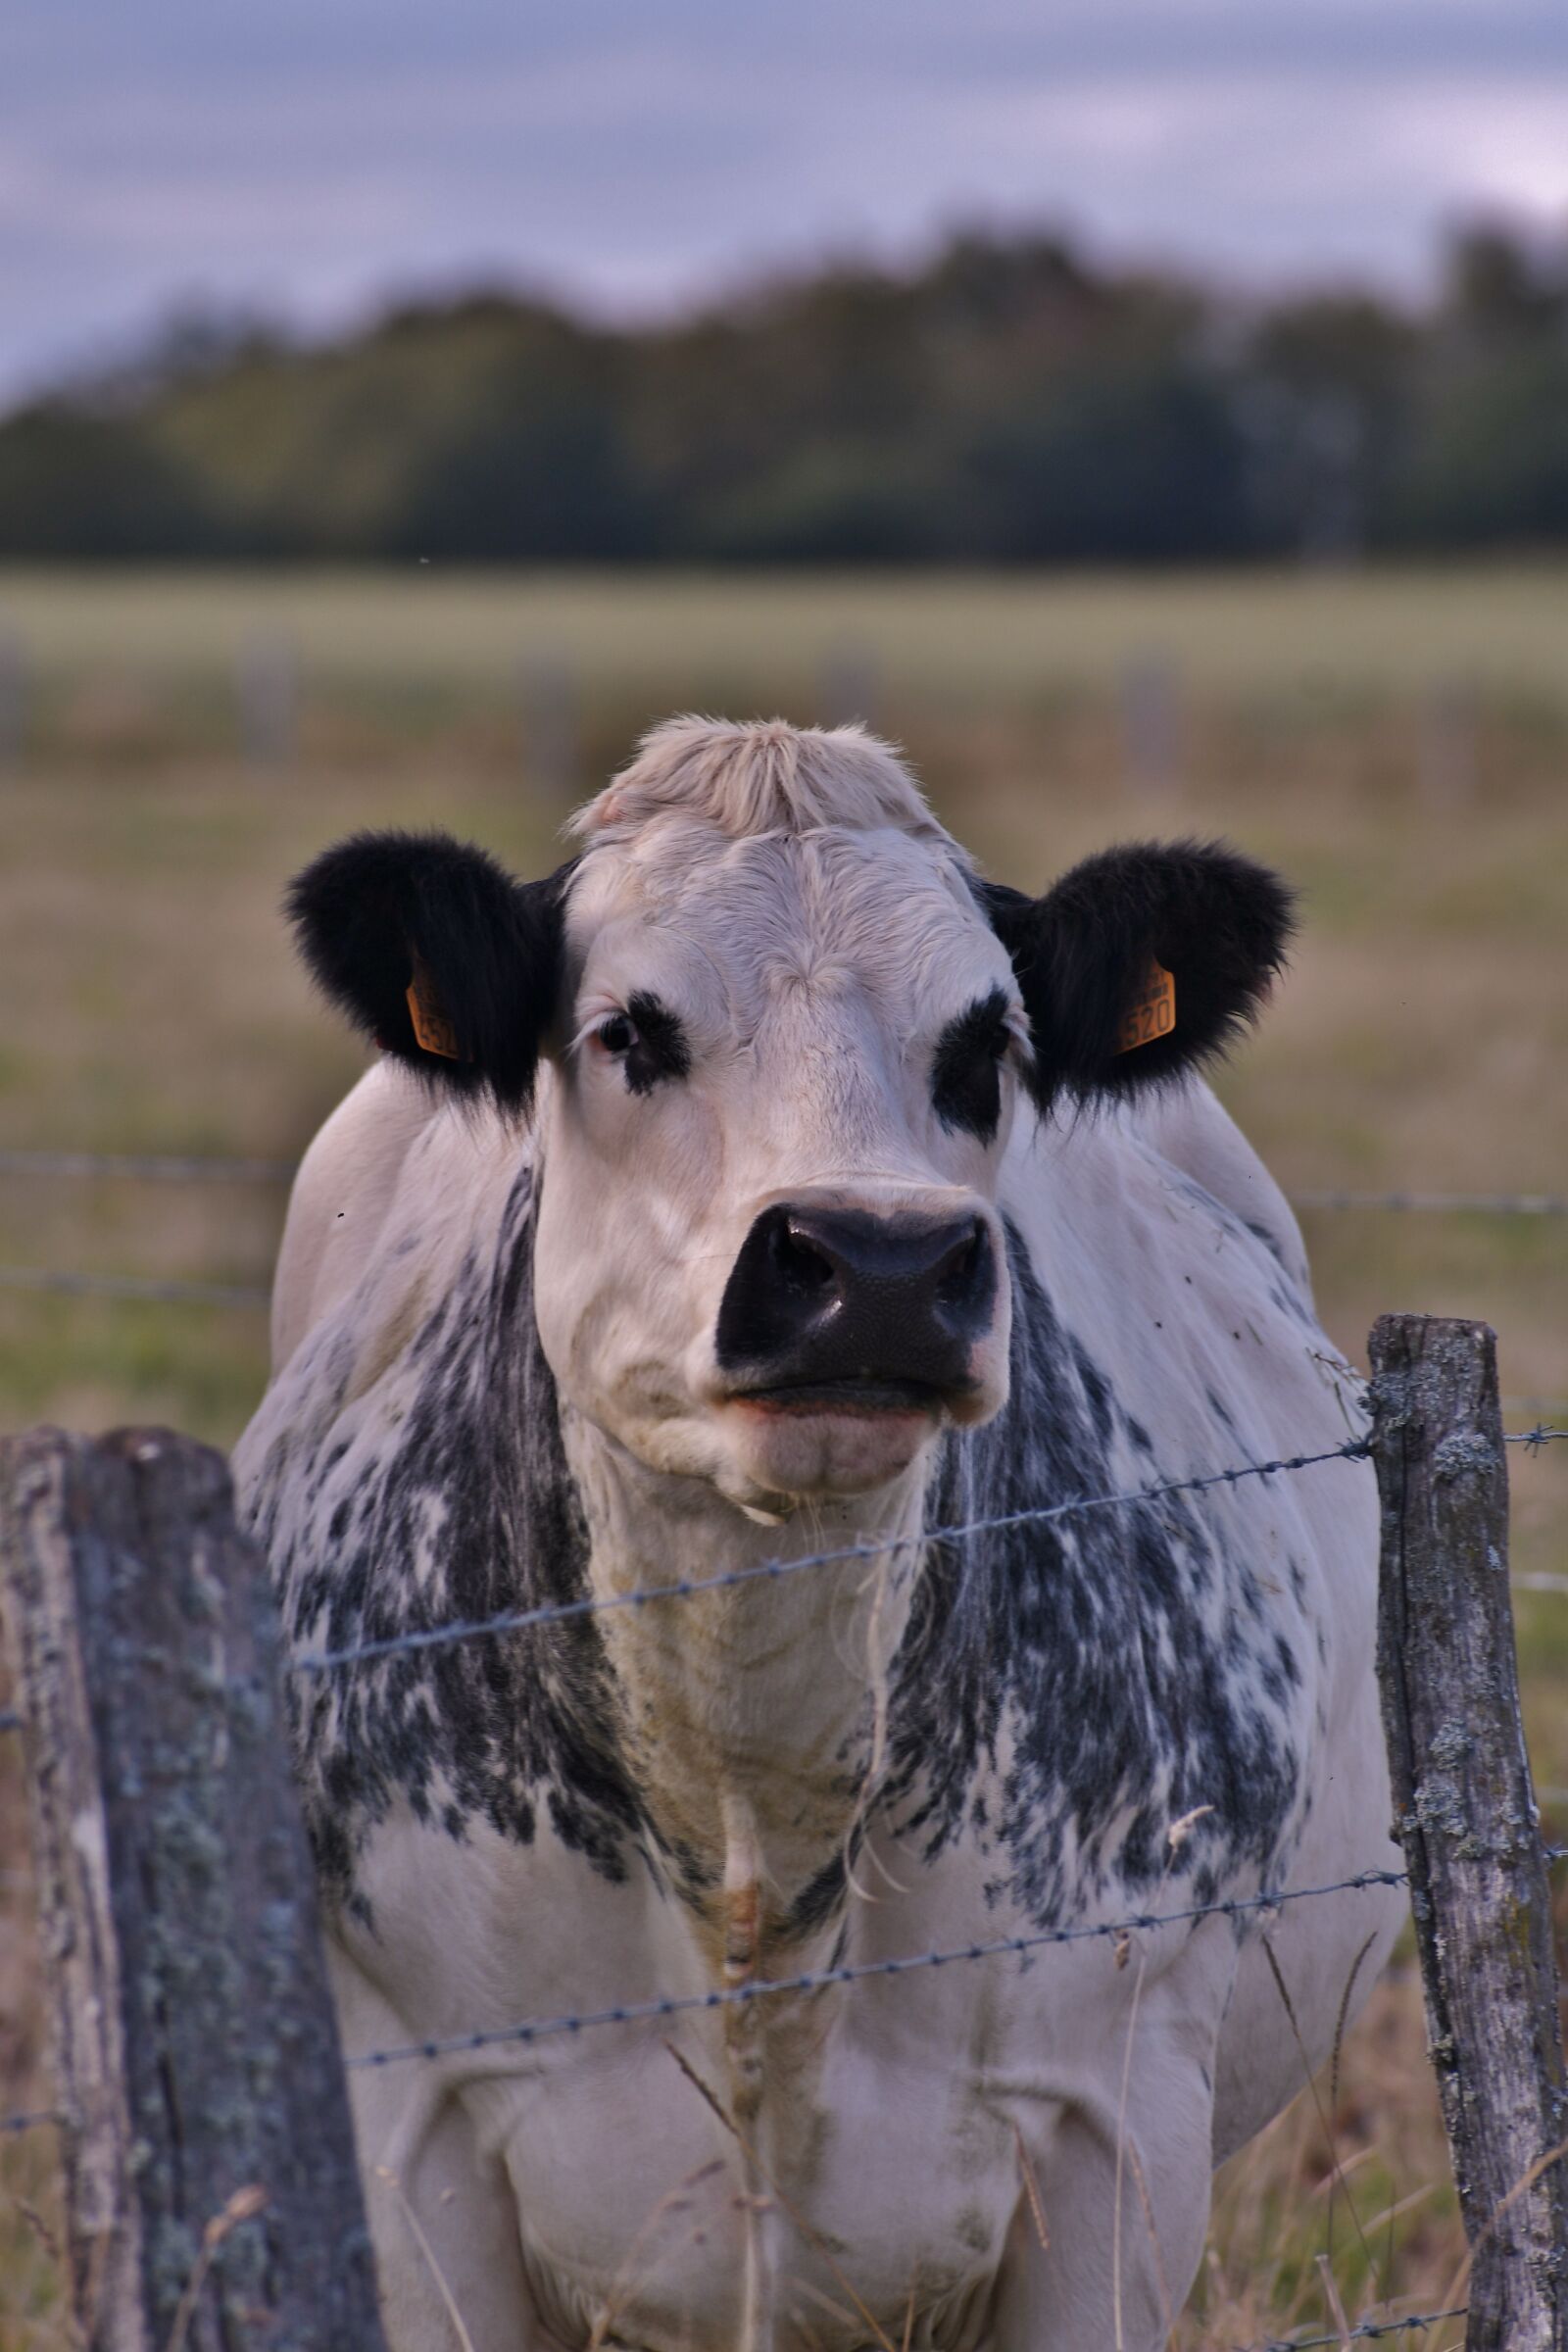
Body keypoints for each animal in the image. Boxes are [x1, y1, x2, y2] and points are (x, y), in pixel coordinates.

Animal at [235, 717, 1403, 2352]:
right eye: (628, 1032)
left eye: (986, 1044)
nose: (880, 1264)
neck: (748, 1808)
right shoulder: (414, 2135)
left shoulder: (1118, 2133)